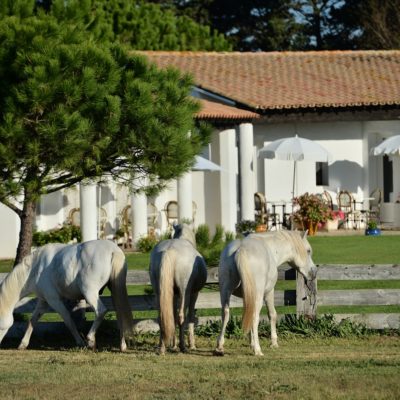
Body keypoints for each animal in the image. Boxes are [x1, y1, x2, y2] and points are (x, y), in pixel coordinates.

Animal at [0, 241, 134, 350]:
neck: (36, 268)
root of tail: (113, 250)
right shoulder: (44, 301)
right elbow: (33, 320)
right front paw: (23, 344)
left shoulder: (54, 300)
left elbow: (68, 320)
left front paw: (80, 342)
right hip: (114, 289)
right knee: (120, 314)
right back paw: (122, 345)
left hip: (89, 292)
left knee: (101, 311)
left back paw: (90, 340)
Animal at [149, 223, 206, 354]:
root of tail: (170, 251)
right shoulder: (194, 294)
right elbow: (190, 317)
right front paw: (191, 344)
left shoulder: (174, 295)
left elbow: (172, 317)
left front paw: (173, 345)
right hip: (185, 292)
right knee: (181, 316)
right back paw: (183, 347)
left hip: (158, 292)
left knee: (162, 317)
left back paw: (162, 347)